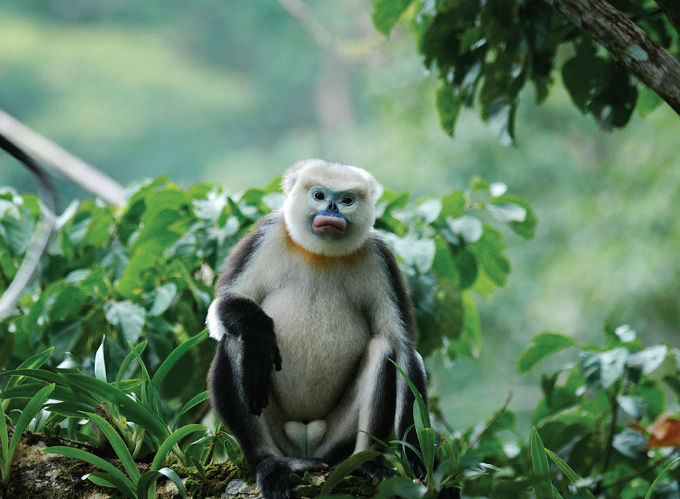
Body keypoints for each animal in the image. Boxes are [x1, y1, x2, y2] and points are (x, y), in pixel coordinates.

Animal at [207, 159, 428, 498]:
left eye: (347, 200)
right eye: (320, 195)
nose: (332, 210)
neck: (319, 254)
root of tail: (306, 444)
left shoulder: (379, 255)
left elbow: (403, 348)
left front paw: (418, 457)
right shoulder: (266, 235)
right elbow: (220, 309)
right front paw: (258, 331)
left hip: (334, 438)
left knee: (383, 347)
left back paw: (366, 463)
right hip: (278, 433)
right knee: (235, 340)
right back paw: (270, 464)